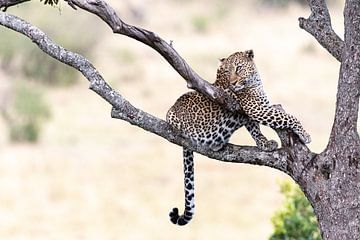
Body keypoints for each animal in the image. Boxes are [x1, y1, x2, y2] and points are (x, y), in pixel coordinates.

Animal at [166, 49, 310, 226]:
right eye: (228, 72)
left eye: (238, 68)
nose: (233, 83)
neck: (254, 80)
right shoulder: (257, 109)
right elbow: (288, 117)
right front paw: (305, 134)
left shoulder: (252, 113)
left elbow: (255, 130)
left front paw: (264, 144)